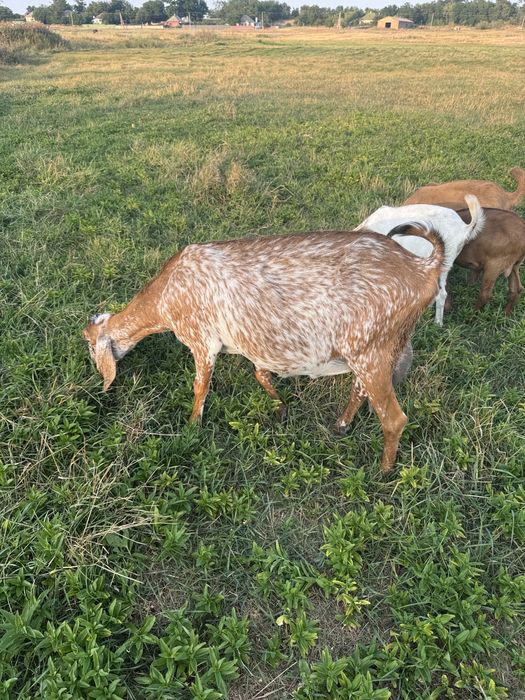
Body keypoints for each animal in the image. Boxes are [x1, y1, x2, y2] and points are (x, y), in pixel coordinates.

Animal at [83, 227, 445, 473]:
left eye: (89, 345)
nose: (101, 385)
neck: (166, 293)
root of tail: (424, 268)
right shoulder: (251, 345)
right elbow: (260, 373)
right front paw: (280, 408)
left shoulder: (202, 339)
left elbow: (201, 386)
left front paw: (191, 427)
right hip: (371, 350)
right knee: (361, 390)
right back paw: (342, 425)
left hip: (371, 350)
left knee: (394, 418)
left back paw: (383, 472)